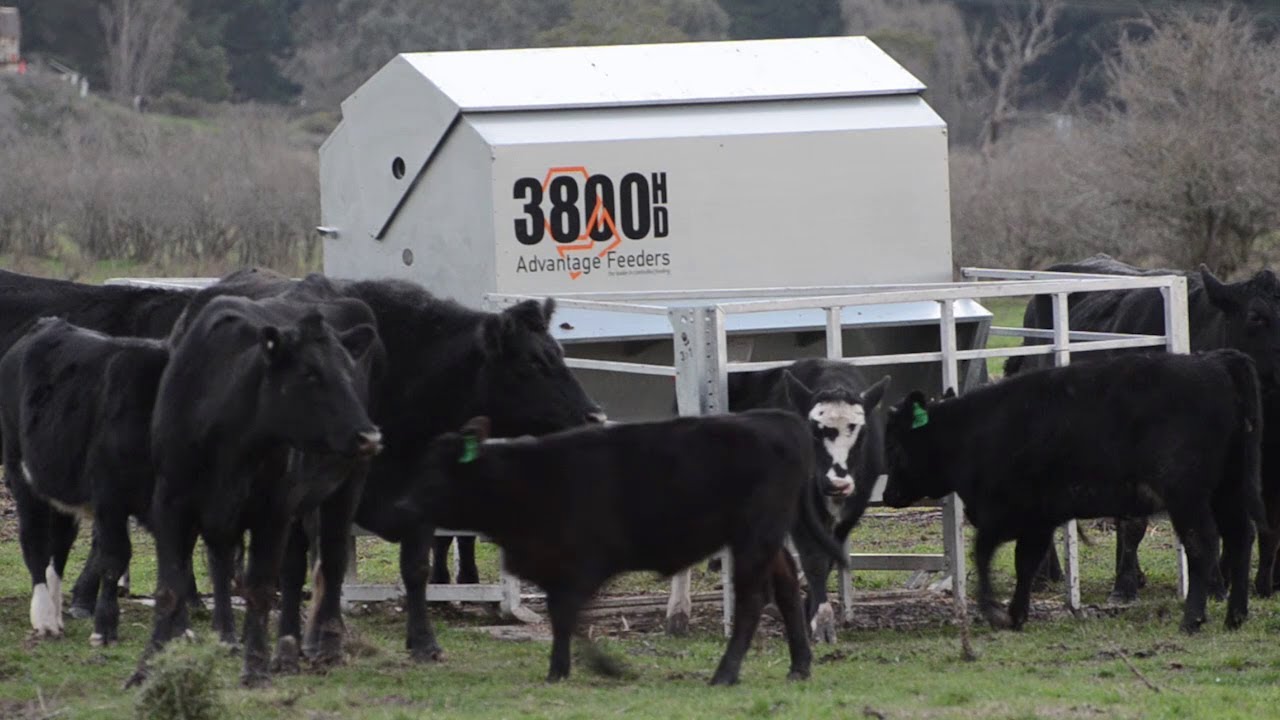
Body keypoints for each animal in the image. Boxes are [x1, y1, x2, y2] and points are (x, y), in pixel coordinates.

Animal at [127, 294, 383, 688]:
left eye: (347, 370)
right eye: (310, 372)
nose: (370, 436)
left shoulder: (271, 510)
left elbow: (261, 588)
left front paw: (256, 668)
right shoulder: (170, 501)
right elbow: (169, 588)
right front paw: (147, 667)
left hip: (346, 486)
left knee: (332, 560)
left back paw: (324, 645)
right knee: (289, 572)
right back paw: (283, 648)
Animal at [167, 273, 605, 669]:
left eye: (559, 353)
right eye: (532, 362)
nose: (595, 416)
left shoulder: (419, 496)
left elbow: (415, 569)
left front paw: (423, 642)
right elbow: (307, 568)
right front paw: (305, 642)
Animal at [405, 410, 849, 685]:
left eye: (435, 473)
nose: (401, 508)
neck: (527, 477)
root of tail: (778, 419)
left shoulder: (580, 565)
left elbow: (568, 617)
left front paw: (591, 668)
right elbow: (565, 618)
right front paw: (567, 669)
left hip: (754, 537)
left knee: (754, 599)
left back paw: (725, 673)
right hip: (765, 539)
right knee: (788, 586)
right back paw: (799, 667)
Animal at [724, 360, 889, 643]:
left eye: (862, 433)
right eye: (813, 432)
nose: (837, 484)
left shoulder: (852, 511)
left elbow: (830, 556)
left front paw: (810, 609)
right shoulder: (799, 513)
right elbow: (814, 559)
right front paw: (821, 620)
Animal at [882, 350, 1265, 634]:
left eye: (896, 445)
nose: (888, 496)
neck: (974, 432)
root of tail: (1216, 362)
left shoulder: (1003, 515)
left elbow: (983, 552)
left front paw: (992, 609)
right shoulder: (1038, 519)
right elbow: (1025, 563)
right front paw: (1016, 614)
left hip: (1187, 494)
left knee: (1203, 544)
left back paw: (1192, 619)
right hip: (1227, 488)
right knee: (1241, 536)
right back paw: (1236, 615)